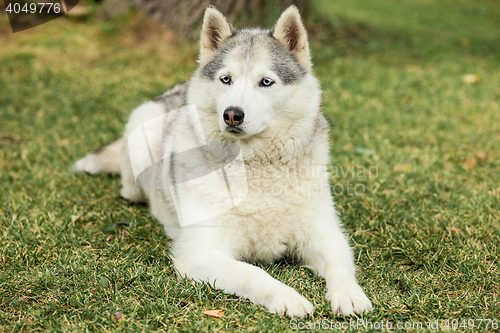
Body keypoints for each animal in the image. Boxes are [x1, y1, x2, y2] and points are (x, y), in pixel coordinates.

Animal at [74, 5, 372, 316]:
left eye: (266, 82)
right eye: (226, 79)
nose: (232, 114)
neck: (254, 167)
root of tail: (178, 88)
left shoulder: (326, 234)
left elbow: (340, 264)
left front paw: (349, 295)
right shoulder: (201, 253)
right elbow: (253, 273)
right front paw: (288, 297)